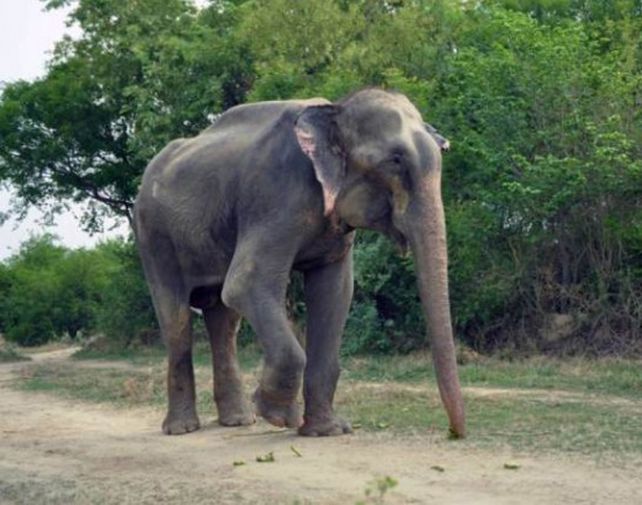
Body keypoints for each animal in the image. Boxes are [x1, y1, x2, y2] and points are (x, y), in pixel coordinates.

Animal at [133, 88, 465, 438]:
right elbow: (246, 283)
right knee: (177, 317)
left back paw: (238, 420)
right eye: (395, 161)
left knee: (224, 320)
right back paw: (183, 429)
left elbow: (334, 293)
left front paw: (327, 430)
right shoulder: (276, 193)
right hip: (153, 236)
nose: (454, 433)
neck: (334, 110)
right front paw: (278, 416)